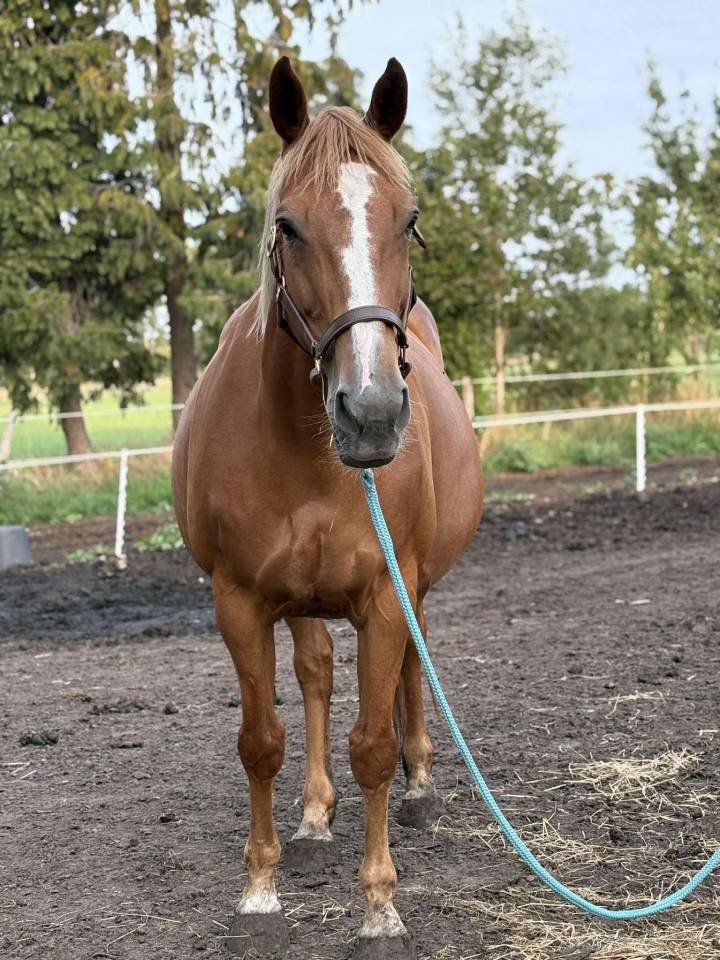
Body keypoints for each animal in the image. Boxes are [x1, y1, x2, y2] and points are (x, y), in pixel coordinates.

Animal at [172, 56, 483, 957]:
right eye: (288, 227)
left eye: (408, 221)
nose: (371, 412)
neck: (310, 454)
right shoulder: (240, 602)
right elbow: (261, 740)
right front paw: (261, 883)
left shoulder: (385, 596)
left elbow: (373, 744)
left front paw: (379, 902)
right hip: (299, 600)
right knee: (313, 673)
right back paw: (313, 814)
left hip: (412, 587)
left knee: (413, 670)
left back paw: (421, 786)